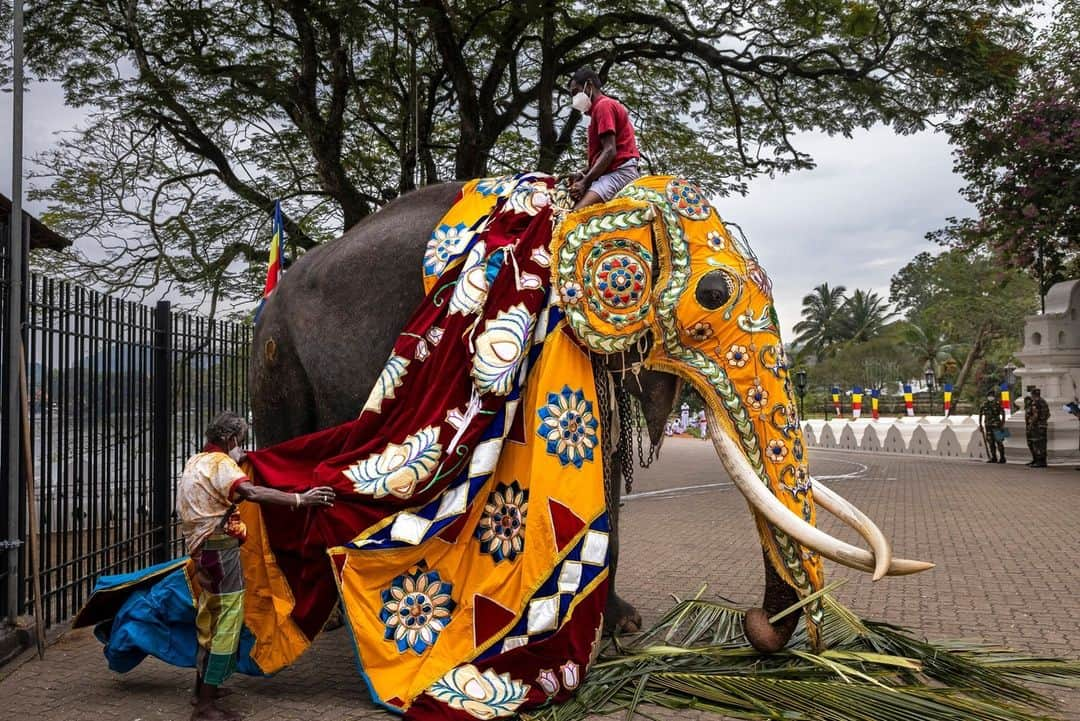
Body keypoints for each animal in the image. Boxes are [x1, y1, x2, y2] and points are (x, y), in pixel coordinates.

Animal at [250, 172, 928, 651]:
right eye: (712, 294)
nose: (757, 627)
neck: (589, 207)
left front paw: (620, 628)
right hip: (276, 357)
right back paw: (325, 624)